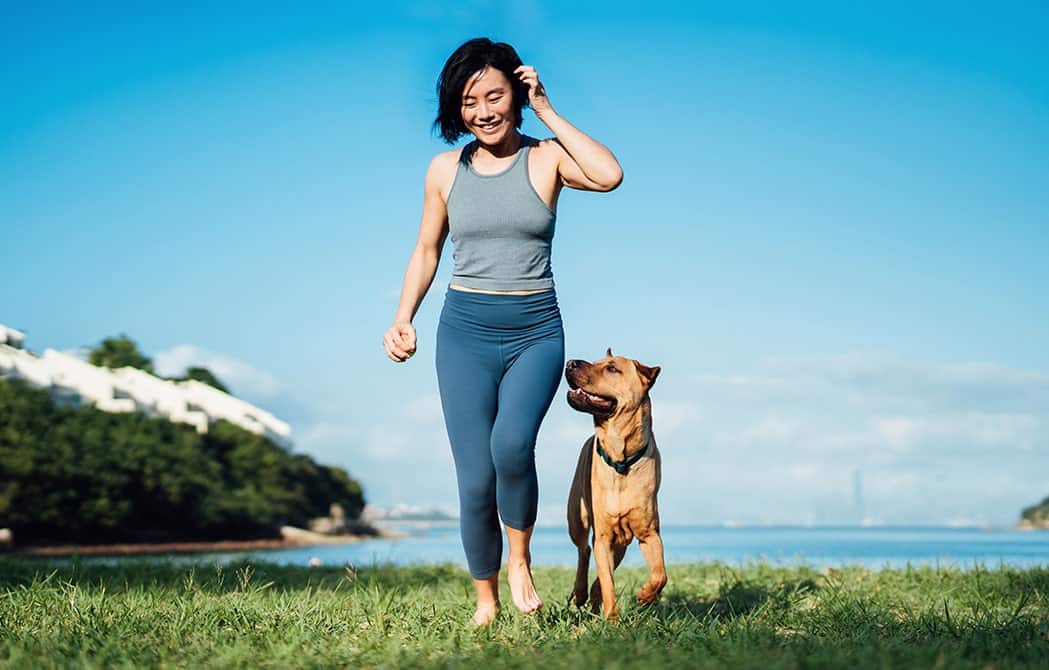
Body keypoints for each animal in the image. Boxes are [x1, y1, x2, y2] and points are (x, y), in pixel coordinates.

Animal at [566, 348, 662, 620]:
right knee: (584, 551)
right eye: (596, 362)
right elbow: (608, 581)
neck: (621, 460)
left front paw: (646, 595)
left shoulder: (649, 533)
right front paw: (613, 619)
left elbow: (660, 574)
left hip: (620, 544)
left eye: (611, 368)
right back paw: (581, 593)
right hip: (577, 518)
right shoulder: (604, 535)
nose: (570, 362)